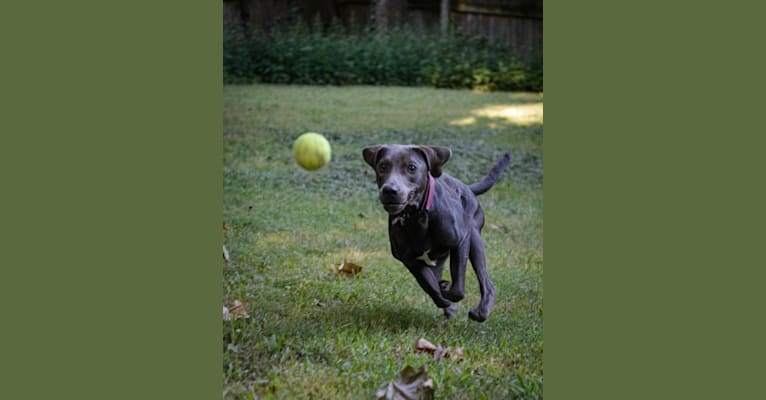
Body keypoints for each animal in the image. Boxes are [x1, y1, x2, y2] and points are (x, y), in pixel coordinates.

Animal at [364, 144, 512, 322]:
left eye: (412, 167)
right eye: (382, 167)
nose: (390, 190)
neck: (417, 216)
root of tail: (466, 187)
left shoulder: (461, 241)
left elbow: (457, 287)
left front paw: (447, 290)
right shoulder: (411, 261)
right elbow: (431, 287)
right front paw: (444, 298)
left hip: (475, 239)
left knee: (487, 284)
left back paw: (480, 312)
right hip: (439, 258)